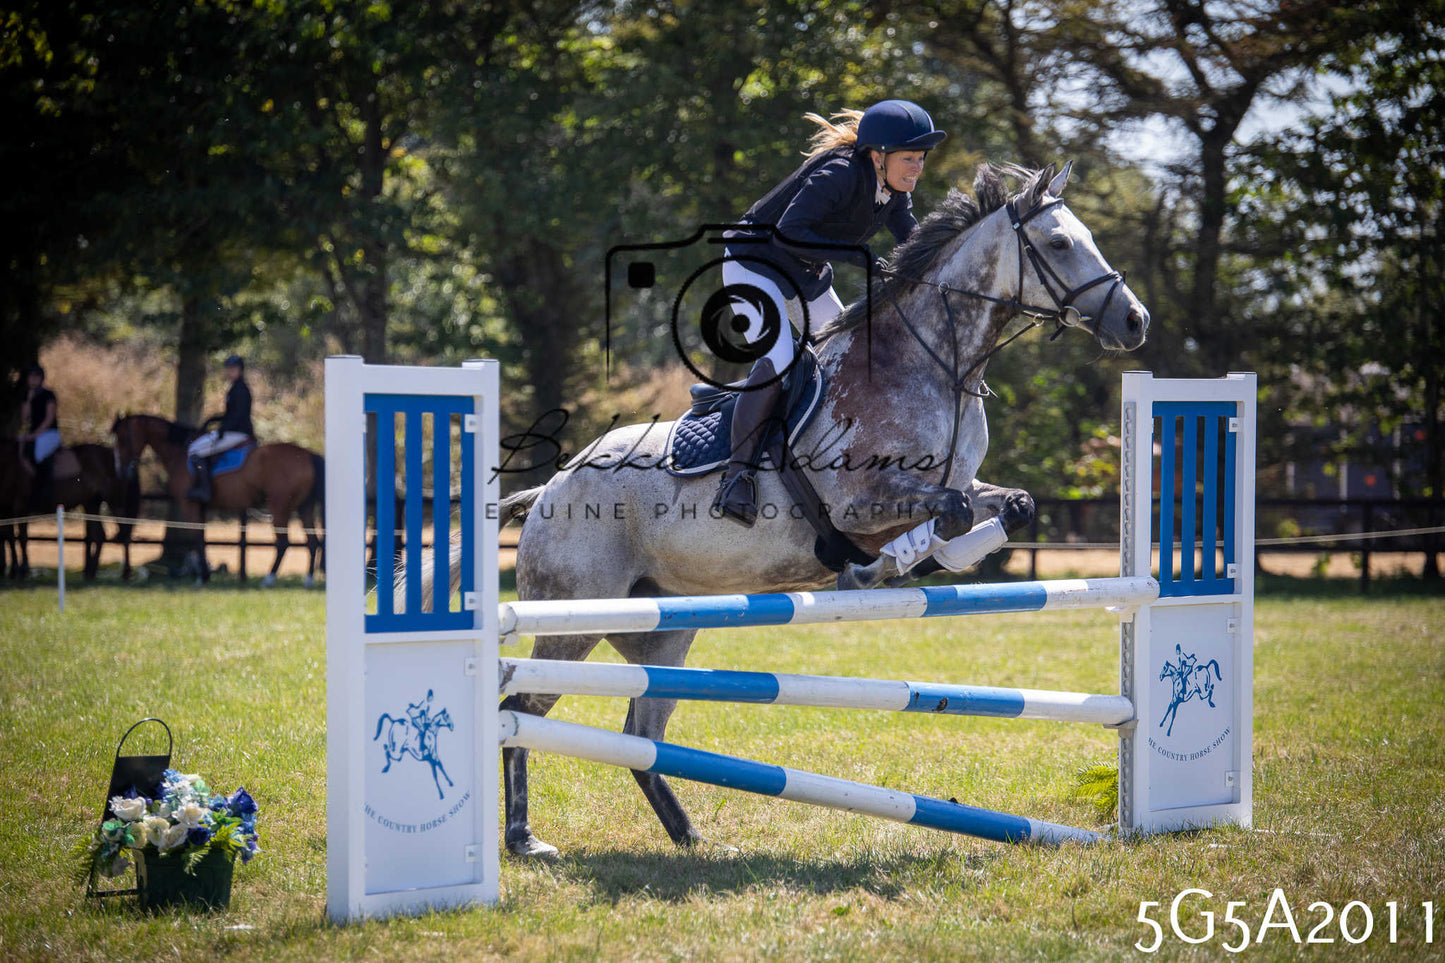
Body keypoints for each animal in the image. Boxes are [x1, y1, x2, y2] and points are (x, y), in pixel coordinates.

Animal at [0, 440, 136, 581]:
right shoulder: (6, 507)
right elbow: (9, 535)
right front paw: (13, 570)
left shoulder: (20, 505)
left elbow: (21, 537)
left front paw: (22, 570)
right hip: (92, 503)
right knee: (100, 534)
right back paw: (91, 572)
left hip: (114, 501)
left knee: (124, 533)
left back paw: (125, 573)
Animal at [110, 415, 324, 586]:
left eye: (122, 439)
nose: (120, 470)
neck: (180, 451)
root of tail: (308, 454)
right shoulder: (202, 508)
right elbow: (203, 537)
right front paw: (204, 574)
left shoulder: (190, 506)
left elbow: (197, 537)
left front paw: (203, 577)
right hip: (304, 506)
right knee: (312, 541)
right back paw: (308, 580)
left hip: (279, 506)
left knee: (283, 543)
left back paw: (269, 579)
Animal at [429, 162, 1151, 857]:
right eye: (1059, 243)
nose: (1135, 321)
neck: (933, 364)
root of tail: (549, 489)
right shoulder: (859, 504)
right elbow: (937, 518)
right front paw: (873, 570)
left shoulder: (964, 485)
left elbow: (1010, 507)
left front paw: (915, 563)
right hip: (571, 622)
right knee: (522, 706)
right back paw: (524, 838)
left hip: (664, 630)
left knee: (640, 732)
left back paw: (689, 837)